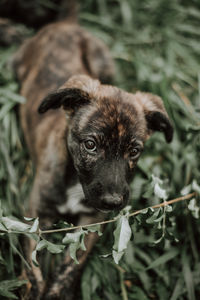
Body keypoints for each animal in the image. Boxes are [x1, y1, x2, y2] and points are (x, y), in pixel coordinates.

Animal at [13, 15, 173, 298]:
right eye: (90, 145)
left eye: (134, 151)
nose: (113, 201)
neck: (74, 181)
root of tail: (65, 23)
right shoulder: (35, 215)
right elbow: (32, 264)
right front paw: (34, 289)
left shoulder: (93, 220)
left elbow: (71, 264)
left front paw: (56, 291)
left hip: (104, 63)